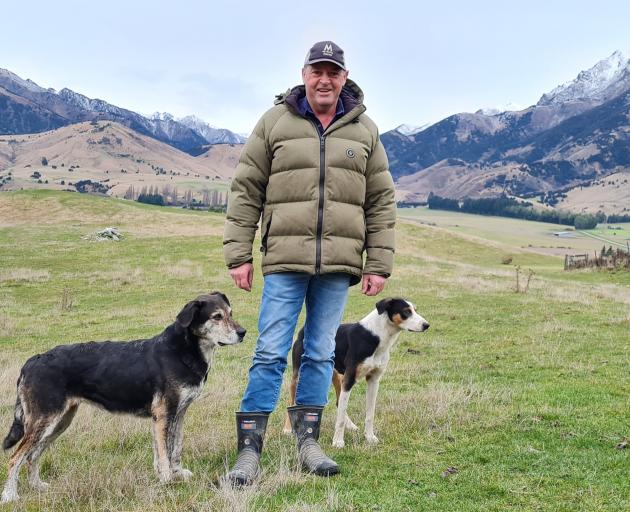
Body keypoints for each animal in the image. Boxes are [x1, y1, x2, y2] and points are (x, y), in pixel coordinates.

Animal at [1, 292, 246, 504]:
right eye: (217, 317)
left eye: (231, 313)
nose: (243, 332)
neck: (183, 350)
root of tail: (31, 361)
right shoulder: (163, 414)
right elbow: (164, 453)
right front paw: (168, 480)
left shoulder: (178, 413)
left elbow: (174, 448)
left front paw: (176, 473)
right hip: (44, 421)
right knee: (15, 457)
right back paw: (10, 496)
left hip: (59, 422)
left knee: (32, 456)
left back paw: (37, 486)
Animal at [286, 298, 430, 446]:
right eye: (406, 312)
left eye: (415, 310)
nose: (426, 325)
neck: (376, 336)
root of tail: (304, 329)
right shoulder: (349, 378)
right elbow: (341, 416)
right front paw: (338, 441)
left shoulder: (373, 380)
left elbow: (369, 414)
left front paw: (370, 437)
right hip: (299, 376)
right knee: (291, 400)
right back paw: (288, 429)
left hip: (336, 375)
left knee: (338, 402)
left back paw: (351, 425)